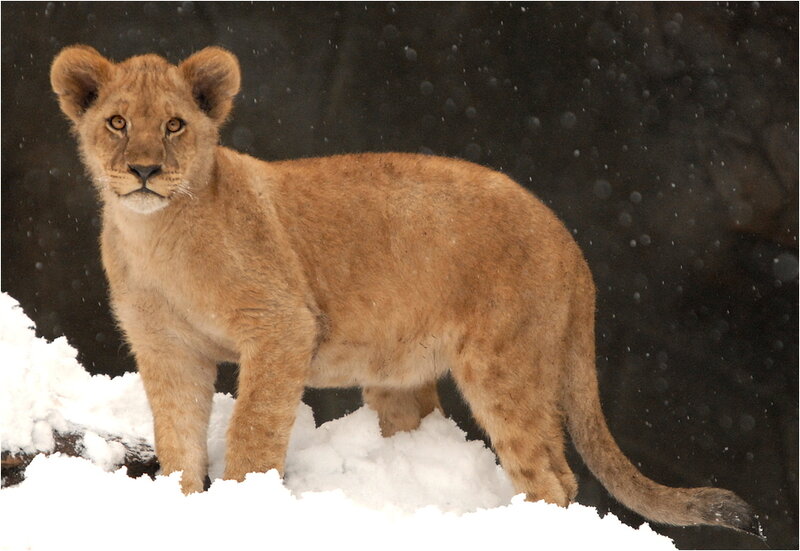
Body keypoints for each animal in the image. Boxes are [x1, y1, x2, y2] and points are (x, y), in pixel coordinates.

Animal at [50, 45, 760, 536]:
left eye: (174, 126)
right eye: (117, 122)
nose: (145, 170)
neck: (156, 236)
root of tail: (567, 238)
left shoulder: (281, 325)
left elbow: (254, 426)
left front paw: (240, 506)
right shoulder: (167, 349)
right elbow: (176, 438)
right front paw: (184, 506)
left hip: (503, 365)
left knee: (554, 478)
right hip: (401, 377)